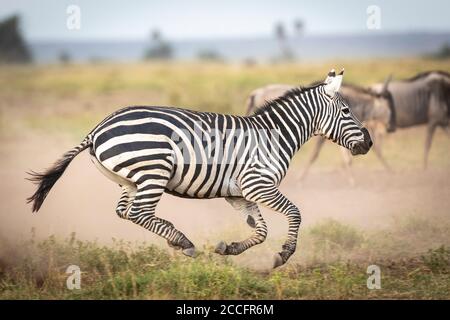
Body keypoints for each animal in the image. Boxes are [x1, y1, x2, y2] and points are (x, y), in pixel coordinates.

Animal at [27, 69, 372, 268]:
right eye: (346, 110)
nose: (368, 143)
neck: (274, 136)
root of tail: (98, 128)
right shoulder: (258, 184)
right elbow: (295, 213)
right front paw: (283, 254)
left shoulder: (239, 194)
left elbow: (260, 231)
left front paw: (229, 248)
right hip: (154, 171)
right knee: (138, 212)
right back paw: (183, 242)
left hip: (129, 180)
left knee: (124, 212)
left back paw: (175, 240)